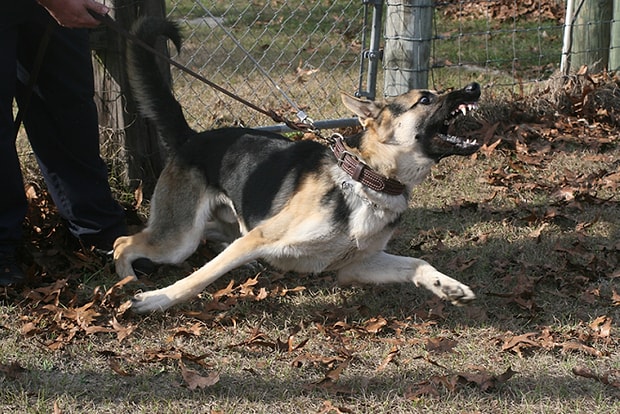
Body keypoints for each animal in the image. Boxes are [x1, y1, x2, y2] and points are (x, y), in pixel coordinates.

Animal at [117, 17, 484, 312]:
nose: (473, 87)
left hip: (217, 226)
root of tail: (191, 138)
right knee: (124, 243)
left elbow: (417, 263)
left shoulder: (357, 265)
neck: (366, 179)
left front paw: (447, 286)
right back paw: (127, 282)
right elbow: (198, 279)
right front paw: (155, 300)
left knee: (215, 239)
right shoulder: (260, 237)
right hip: (179, 240)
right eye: (425, 99)